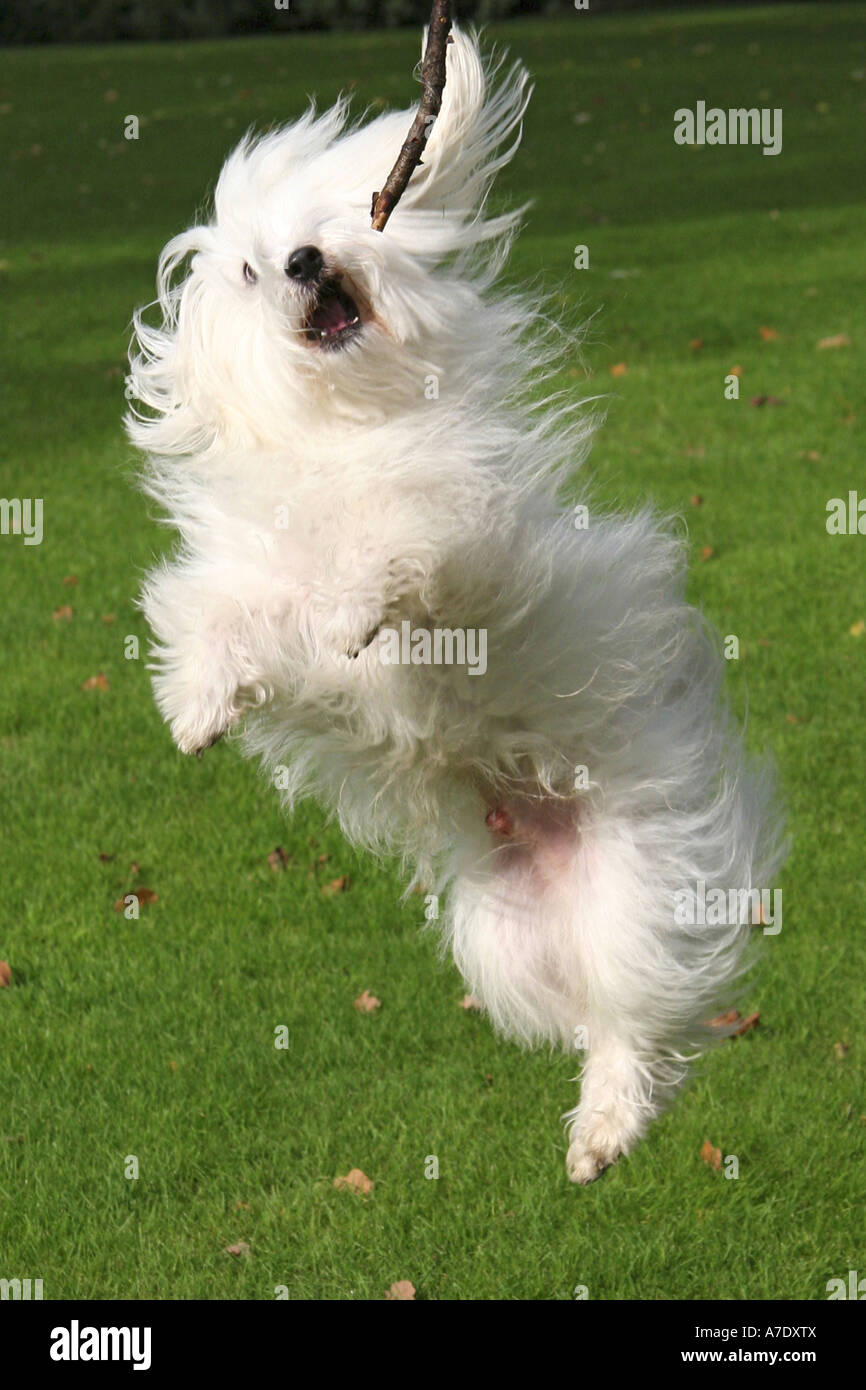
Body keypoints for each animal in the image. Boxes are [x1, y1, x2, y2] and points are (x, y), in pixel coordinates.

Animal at [128, 27, 783, 1184]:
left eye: (324, 229)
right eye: (251, 269)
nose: (303, 263)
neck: (338, 429)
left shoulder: (456, 529)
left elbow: (393, 541)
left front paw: (353, 606)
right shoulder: (252, 578)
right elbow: (223, 618)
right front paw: (200, 707)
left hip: (635, 885)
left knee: (639, 1022)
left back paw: (607, 1125)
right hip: (501, 938)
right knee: (596, 1017)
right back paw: (597, 1125)